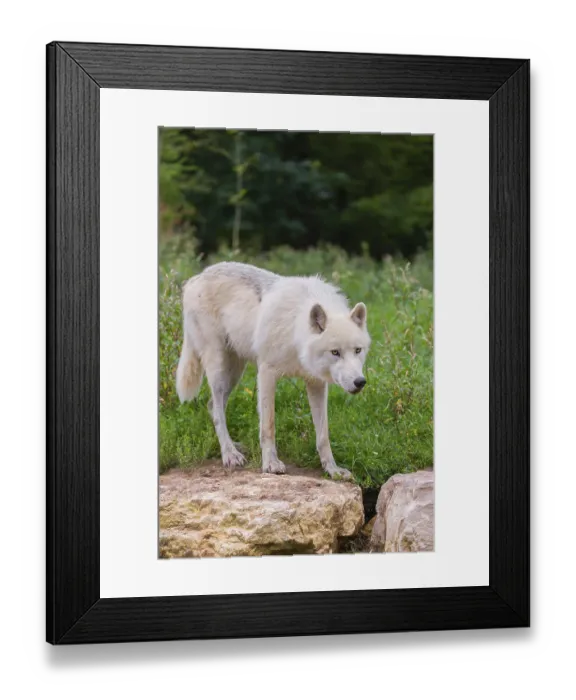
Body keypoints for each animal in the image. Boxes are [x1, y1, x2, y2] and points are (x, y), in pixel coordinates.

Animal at [176, 262, 371, 480]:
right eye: (335, 352)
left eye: (357, 350)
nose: (359, 382)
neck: (295, 331)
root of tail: (196, 278)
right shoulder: (266, 373)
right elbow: (268, 426)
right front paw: (270, 464)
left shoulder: (316, 383)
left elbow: (323, 434)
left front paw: (332, 469)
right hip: (218, 366)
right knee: (217, 410)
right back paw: (229, 453)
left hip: (234, 372)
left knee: (211, 405)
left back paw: (235, 445)